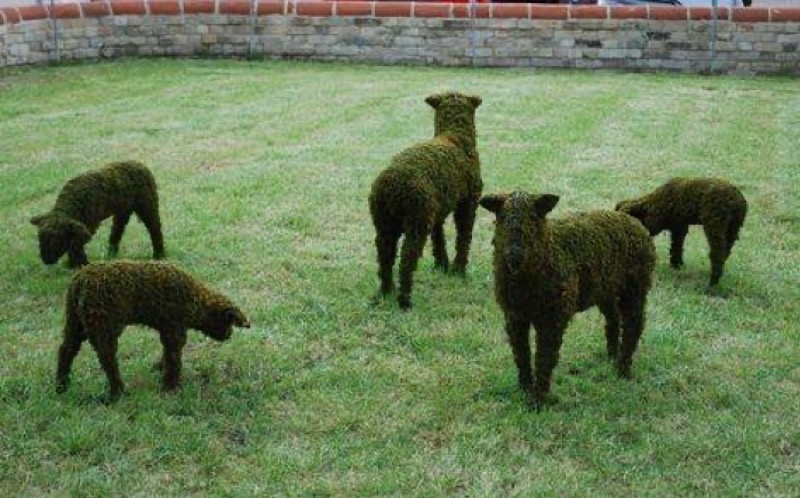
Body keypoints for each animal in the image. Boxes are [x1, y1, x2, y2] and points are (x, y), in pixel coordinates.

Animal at [30, 161, 165, 268]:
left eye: (57, 241)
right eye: (40, 238)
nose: (46, 260)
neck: (72, 203)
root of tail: (140, 164)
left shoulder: (88, 225)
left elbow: (76, 244)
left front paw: (80, 264)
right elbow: (74, 242)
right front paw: (74, 263)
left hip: (148, 203)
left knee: (155, 228)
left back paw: (159, 254)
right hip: (123, 210)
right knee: (117, 230)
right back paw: (111, 253)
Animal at [55, 261, 250, 401]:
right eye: (229, 323)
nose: (229, 335)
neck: (196, 303)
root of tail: (80, 282)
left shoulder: (167, 329)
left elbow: (167, 353)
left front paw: (160, 368)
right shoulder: (175, 330)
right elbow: (173, 359)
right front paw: (170, 387)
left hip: (76, 321)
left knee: (66, 350)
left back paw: (61, 386)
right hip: (103, 325)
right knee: (108, 360)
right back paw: (118, 392)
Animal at [369, 92, 483, 309]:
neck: (456, 136)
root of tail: (392, 184)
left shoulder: (437, 213)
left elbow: (438, 238)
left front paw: (442, 265)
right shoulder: (468, 204)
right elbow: (463, 239)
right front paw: (458, 271)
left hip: (386, 223)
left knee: (385, 258)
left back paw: (387, 291)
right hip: (417, 221)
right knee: (407, 259)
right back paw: (404, 300)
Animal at [480, 191, 656, 408]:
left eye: (533, 217)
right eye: (502, 217)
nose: (515, 254)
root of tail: (634, 222)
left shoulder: (552, 318)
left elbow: (544, 358)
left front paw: (538, 400)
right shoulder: (515, 316)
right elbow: (521, 354)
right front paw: (525, 389)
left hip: (635, 287)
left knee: (634, 324)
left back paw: (622, 369)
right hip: (605, 289)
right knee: (613, 319)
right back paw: (611, 357)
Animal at [615, 177, 747, 288]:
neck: (655, 205)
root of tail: (737, 202)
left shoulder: (678, 226)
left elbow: (676, 245)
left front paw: (676, 264)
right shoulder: (680, 226)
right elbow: (677, 245)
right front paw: (677, 264)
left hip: (715, 224)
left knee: (717, 254)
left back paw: (712, 283)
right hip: (733, 228)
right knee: (726, 251)